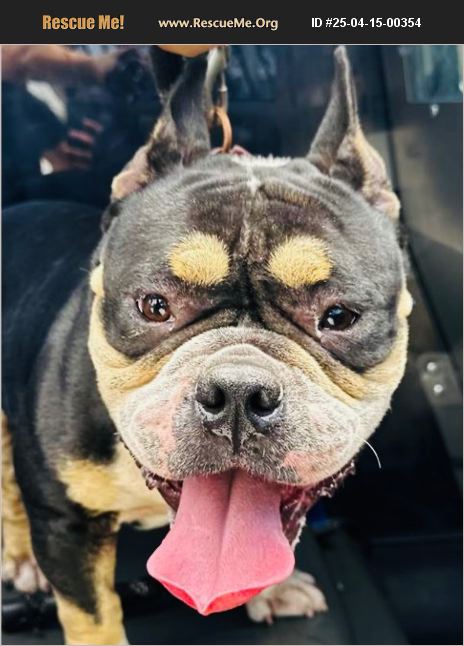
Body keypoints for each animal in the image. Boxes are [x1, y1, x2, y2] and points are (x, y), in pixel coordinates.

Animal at [2, 46, 412, 645]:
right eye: (154, 306)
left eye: (339, 317)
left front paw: (270, 591)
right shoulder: (67, 526)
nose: (238, 391)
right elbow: (93, 616)